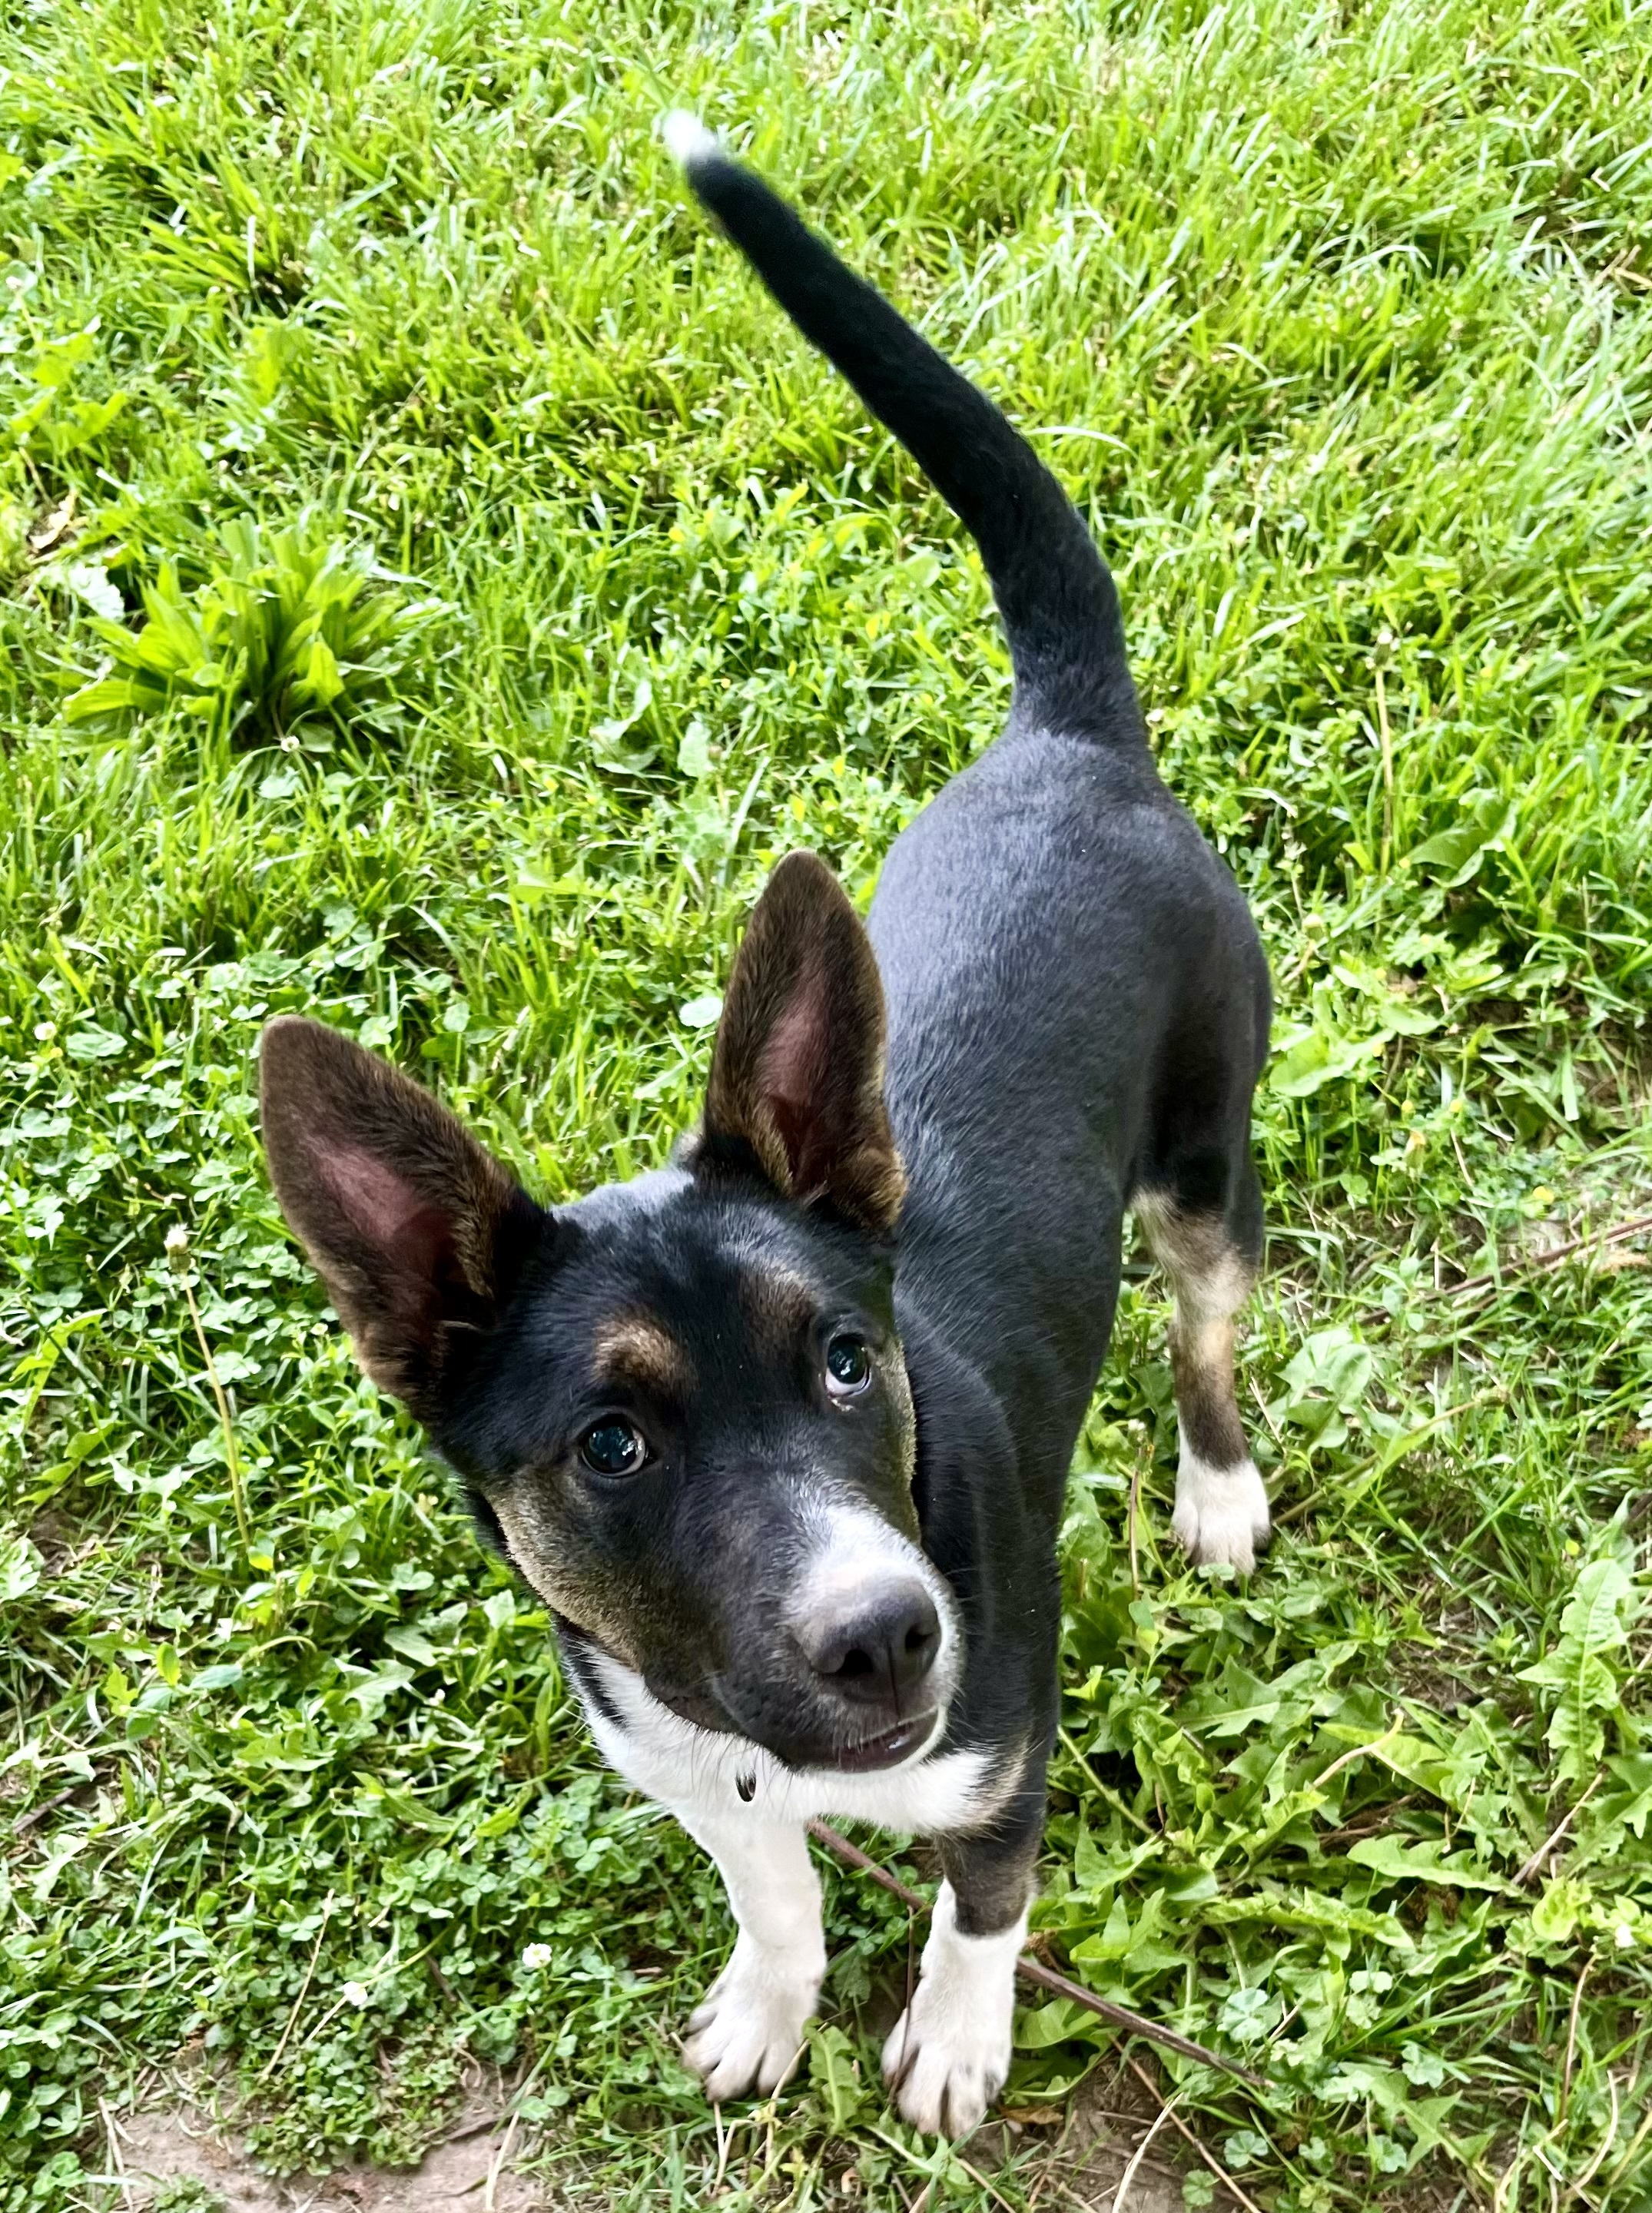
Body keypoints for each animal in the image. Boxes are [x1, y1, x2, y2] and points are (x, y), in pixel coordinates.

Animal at [258, 112, 1273, 2133]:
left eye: (847, 1362)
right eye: (610, 1446)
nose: (890, 1633)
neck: (754, 1722)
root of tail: (1069, 740)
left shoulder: (1002, 1758)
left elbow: (981, 1910)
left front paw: (953, 2046)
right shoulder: (685, 1770)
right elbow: (775, 1887)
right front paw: (769, 2001)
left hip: (1209, 1157)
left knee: (1206, 1320)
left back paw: (1214, 1489)